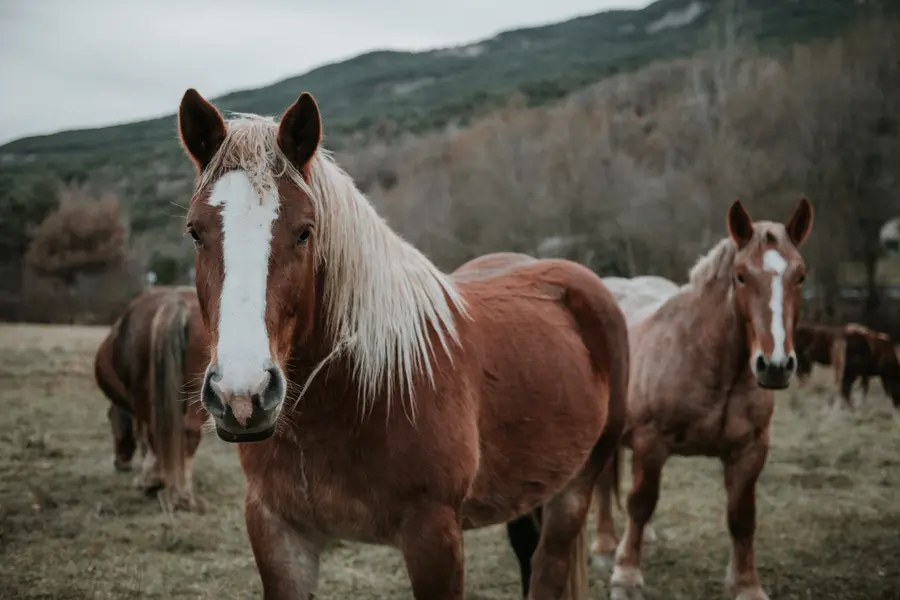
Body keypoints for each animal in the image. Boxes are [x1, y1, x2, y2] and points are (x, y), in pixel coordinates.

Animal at [94, 285, 210, 509]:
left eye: (110, 420)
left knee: (155, 430)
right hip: (197, 391)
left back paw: (155, 482)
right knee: (190, 432)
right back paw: (183, 495)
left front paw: (149, 478)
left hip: (144, 395)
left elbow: (143, 437)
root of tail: (176, 302)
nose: (119, 463)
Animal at [176, 88, 630, 600]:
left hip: (577, 485)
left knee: (549, 565)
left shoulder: (434, 535)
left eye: (305, 231)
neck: (361, 393)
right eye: (195, 232)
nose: (243, 395)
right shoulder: (277, 532)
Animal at [584, 198, 814, 600]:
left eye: (799, 276)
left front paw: (746, 584)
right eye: (741, 276)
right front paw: (625, 575)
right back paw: (604, 546)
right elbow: (641, 503)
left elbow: (742, 517)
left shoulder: (750, 450)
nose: (775, 366)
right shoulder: (651, 443)